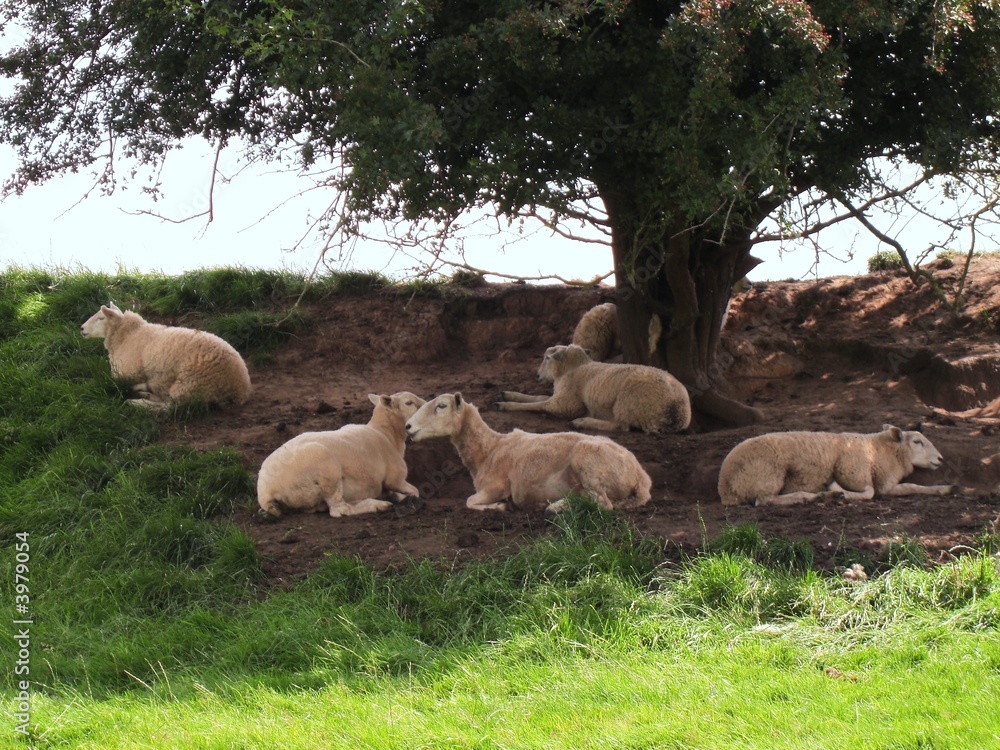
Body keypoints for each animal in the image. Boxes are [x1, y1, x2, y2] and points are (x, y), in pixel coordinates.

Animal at [80, 301, 251, 410]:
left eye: (101, 318)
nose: (81, 328)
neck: (129, 336)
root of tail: (240, 388)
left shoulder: (126, 374)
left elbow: (121, 382)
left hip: (192, 384)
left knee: (169, 407)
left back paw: (138, 402)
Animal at [257, 392, 425, 518]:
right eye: (409, 403)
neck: (386, 434)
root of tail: (265, 491)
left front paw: (395, 496)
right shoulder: (395, 479)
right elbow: (415, 491)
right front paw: (402, 498)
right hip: (327, 469)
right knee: (339, 510)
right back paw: (379, 505)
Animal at [405, 392, 652, 513]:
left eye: (441, 406)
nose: (407, 426)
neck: (489, 450)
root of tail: (641, 478)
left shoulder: (496, 487)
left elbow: (469, 501)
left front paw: (502, 506)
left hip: (587, 459)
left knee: (604, 504)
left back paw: (555, 507)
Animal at [497, 344, 691, 433]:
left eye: (547, 358)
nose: (537, 376)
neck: (573, 368)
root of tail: (678, 414)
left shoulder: (565, 405)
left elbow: (538, 405)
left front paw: (506, 405)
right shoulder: (561, 396)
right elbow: (537, 398)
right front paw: (509, 394)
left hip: (629, 403)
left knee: (620, 426)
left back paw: (581, 422)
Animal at [717, 424, 965, 506]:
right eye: (917, 442)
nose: (940, 459)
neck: (878, 450)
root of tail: (724, 485)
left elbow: (913, 487)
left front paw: (946, 488)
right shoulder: (853, 471)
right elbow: (871, 492)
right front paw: (839, 492)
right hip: (768, 476)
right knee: (764, 501)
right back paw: (811, 497)